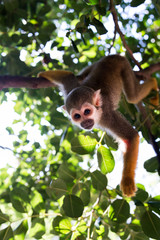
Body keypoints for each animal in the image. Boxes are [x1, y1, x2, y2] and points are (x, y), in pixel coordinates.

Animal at [38, 54, 159, 197]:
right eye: (77, 116)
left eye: (87, 112)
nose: (85, 122)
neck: (97, 114)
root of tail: (113, 57)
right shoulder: (71, 88)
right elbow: (68, 76)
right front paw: (42, 74)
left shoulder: (107, 117)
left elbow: (131, 136)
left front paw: (127, 181)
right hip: (97, 64)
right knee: (81, 75)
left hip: (124, 66)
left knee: (132, 97)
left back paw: (153, 83)